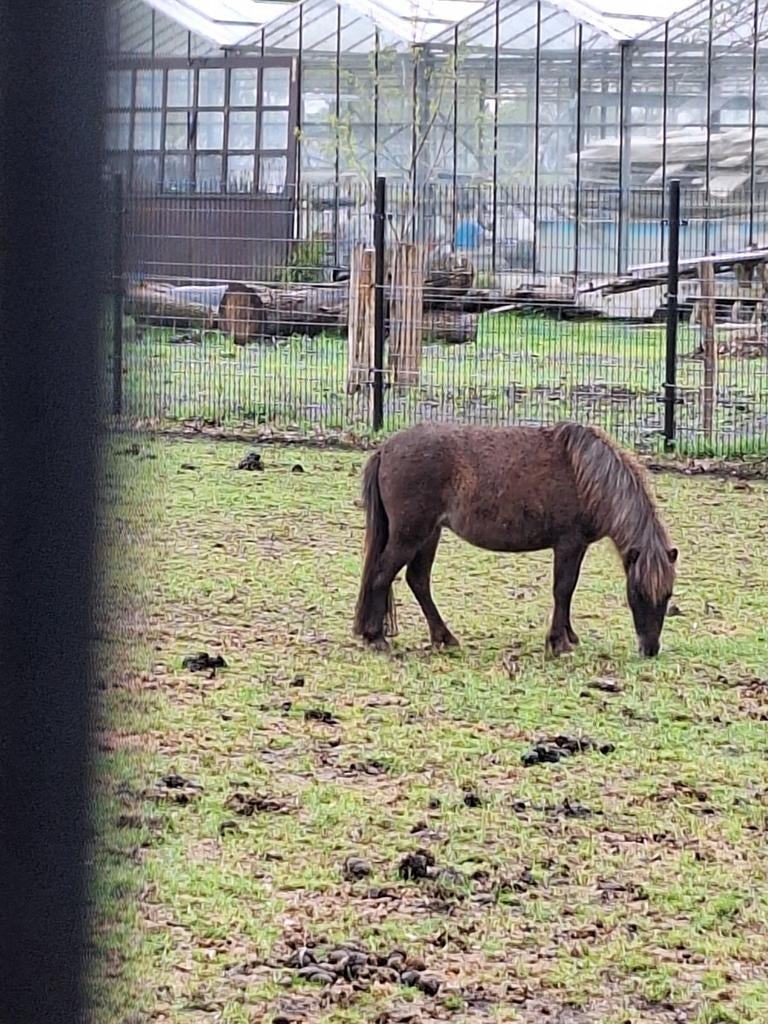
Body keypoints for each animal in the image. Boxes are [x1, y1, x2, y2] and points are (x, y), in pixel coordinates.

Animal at [353, 422, 678, 657]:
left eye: (668, 594)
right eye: (636, 592)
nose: (650, 649)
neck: (586, 475)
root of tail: (385, 450)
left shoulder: (579, 546)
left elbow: (569, 591)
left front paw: (569, 636)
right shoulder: (568, 544)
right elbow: (563, 589)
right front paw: (558, 643)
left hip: (428, 534)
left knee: (417, 580)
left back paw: (444, 637)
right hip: (410, 535)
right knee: (382, 575)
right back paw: (376, 638)